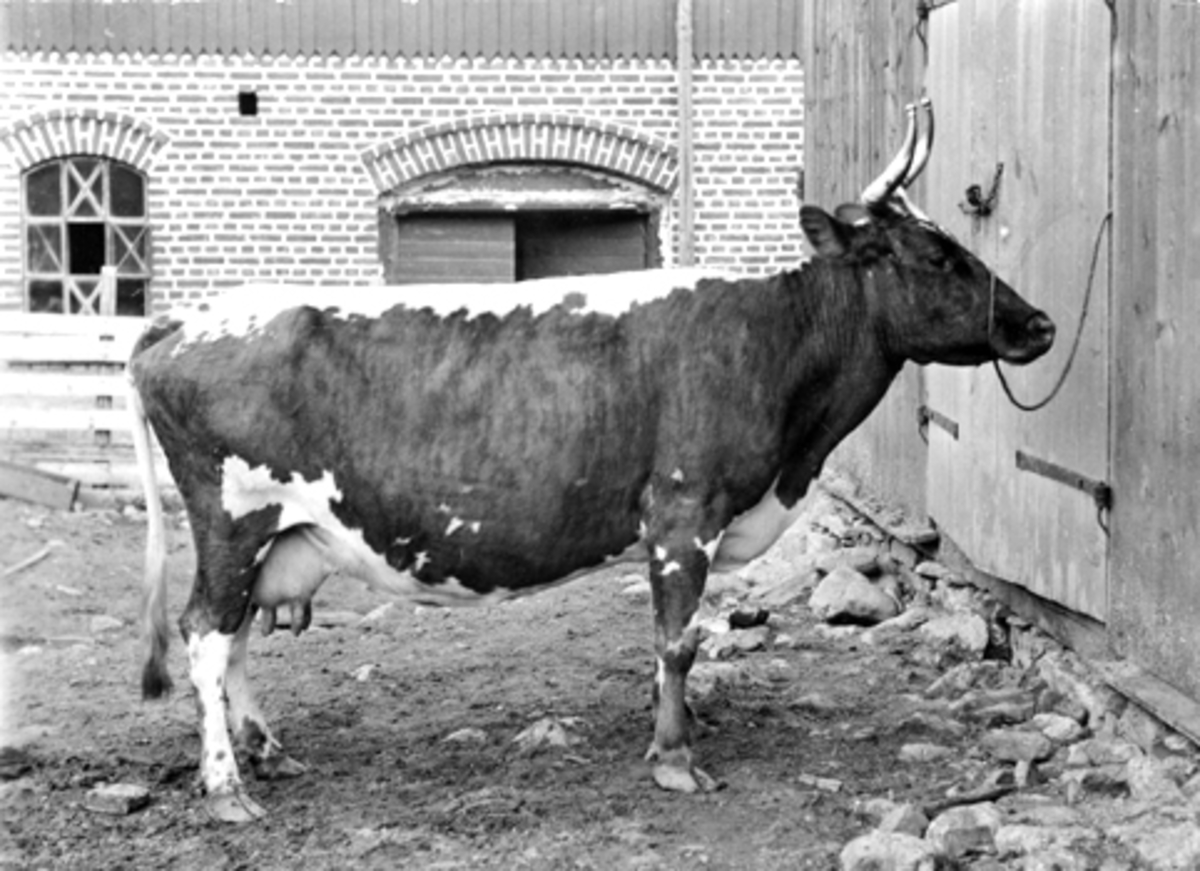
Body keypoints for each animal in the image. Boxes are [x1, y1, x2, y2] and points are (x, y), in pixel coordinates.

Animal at [126, 102, 1056, 825]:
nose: (1039, 323)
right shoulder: (684, 512)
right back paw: (226, 786)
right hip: (233, 519)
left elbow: (671, 642)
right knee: (206, 633)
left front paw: (678, 728)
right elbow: (679, 637)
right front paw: (676, 757)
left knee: (235, 638)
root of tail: (188, 319)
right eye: (936, 257)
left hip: (273, 536)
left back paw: (268, 749)